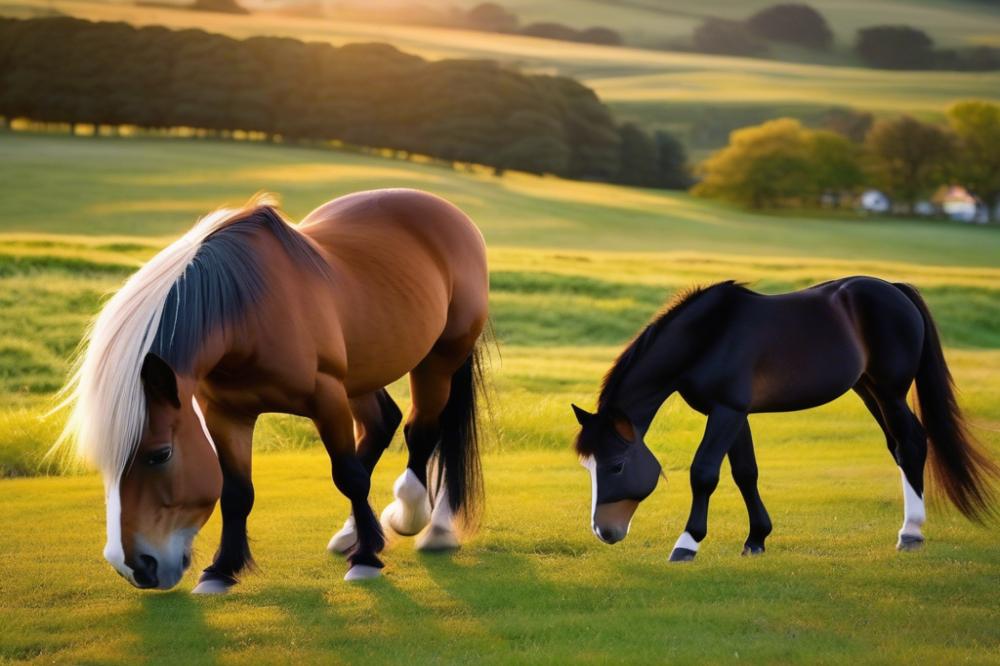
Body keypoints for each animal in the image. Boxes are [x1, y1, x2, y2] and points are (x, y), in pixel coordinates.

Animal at [54, 189, 489, 592]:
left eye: (160, 454)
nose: (136, 568)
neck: (246, 311)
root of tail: (446, 211)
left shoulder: (326, 397)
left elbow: (348, 475)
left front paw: (366, 559)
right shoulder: (225, 413)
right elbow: (236, 492)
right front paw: (221, 570)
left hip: (439, 360)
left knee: (424, 429)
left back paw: (423, 524)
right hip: (363, 373)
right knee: (384, 423)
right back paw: (355, 531)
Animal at [573, 278, 998, 561]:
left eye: (616, 465)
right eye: (589, 466)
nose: (604, 531)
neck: (710, 335)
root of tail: (894, 289)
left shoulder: (727, 411)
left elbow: (704, 472)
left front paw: (687, 544)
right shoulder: (733, 413)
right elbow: (746, 473)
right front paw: (756, 539)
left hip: (890, 391)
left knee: (910, 443)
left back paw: (910, 533)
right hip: (868, 389)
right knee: (899, 445)